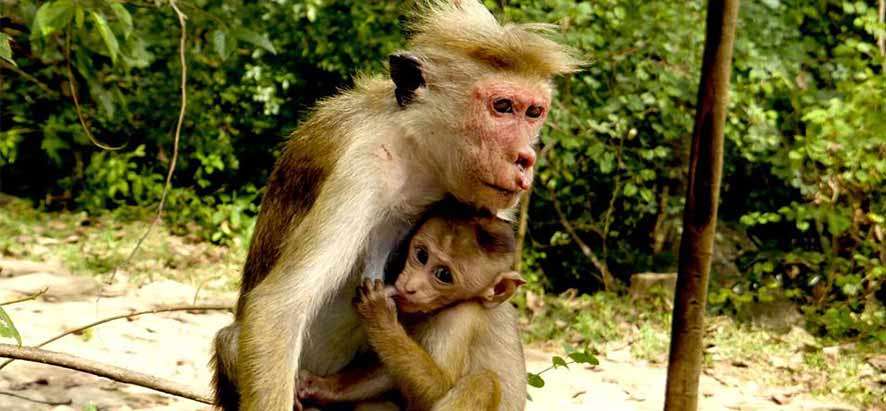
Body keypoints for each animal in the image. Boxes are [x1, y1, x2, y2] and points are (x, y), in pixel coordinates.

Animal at [302, 204, 532, 411]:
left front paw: (380, 316)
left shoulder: (461, 317)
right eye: (421, 255)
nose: (409, 287)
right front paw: (324, 388)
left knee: (484, 383)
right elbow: (390, 372)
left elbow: (440, 387)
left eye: (443, 275)